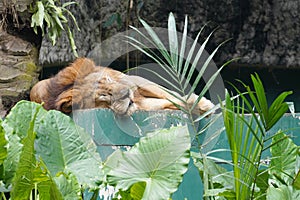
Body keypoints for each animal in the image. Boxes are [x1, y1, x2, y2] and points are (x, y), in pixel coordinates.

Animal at [29, 57, 213, 115]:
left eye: (108, 80)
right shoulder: (142, 105)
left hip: (135, 79)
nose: (127, 93)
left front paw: (203, 104)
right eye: (103, 95)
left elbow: (171, 96)